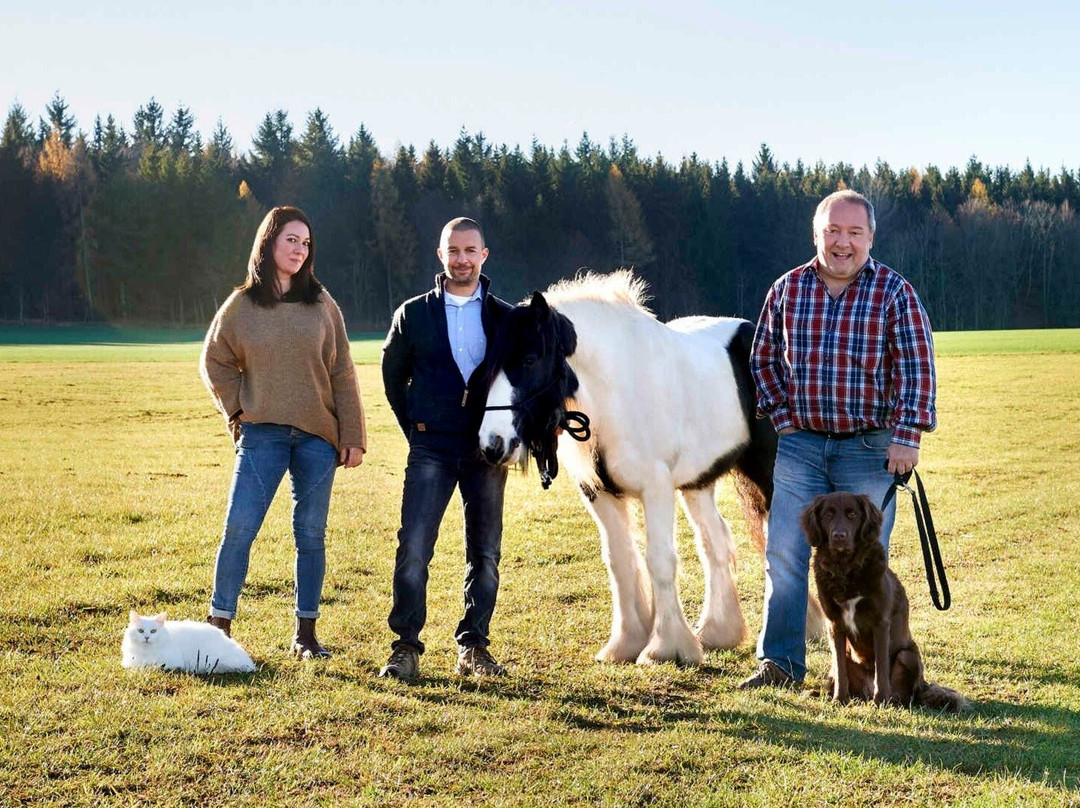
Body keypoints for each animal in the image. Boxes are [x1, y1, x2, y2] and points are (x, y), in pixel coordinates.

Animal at [477, 271, 781, 661]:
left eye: (530, 359)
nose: (492, 444)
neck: (618, 388)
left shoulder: (657, 489)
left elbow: (659, 561)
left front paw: (664, 647)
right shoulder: (600, 493)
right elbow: (620, 562)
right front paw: (625, 643)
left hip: (767, 472)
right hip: (698, 485)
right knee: (715, 543)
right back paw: (717, 631)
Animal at [803, 488, 972, 708]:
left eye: (852, 514)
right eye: (827, 515)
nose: (839, 536)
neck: (846, 569)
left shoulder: (880, 623)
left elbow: (881, 668)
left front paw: (880, 700)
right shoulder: (834, 624)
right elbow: (840, 669)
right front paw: (839, 699)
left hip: (907, 656)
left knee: (905, 694)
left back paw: (891, 700)